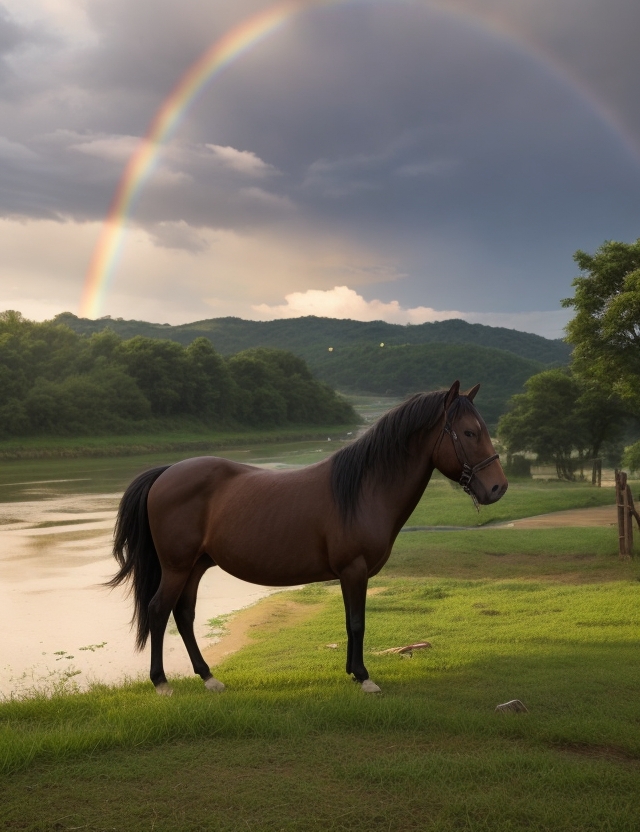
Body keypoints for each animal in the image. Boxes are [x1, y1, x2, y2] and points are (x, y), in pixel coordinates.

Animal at [111, 384, 510, 696]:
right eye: (470, 432)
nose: (498, 487)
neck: (364, 489)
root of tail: (166, 472)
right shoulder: (354, 570)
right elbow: (357, 622)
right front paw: (364, 677)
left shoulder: (351, 575)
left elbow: (351, 622)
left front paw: (351, 672)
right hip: (177, 567)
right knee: (159, 611)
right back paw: (162, 683)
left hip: (195, 567)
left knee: (184, 615)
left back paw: (209, 677)